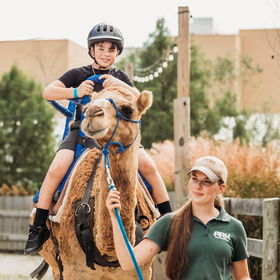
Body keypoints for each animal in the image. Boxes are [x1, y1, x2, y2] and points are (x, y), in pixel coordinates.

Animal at [37, 86, 158, 280]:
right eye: (87, 107)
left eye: (128, 109)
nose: (92, 112)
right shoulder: (74, 270)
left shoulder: (142, 269)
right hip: (56, 266)